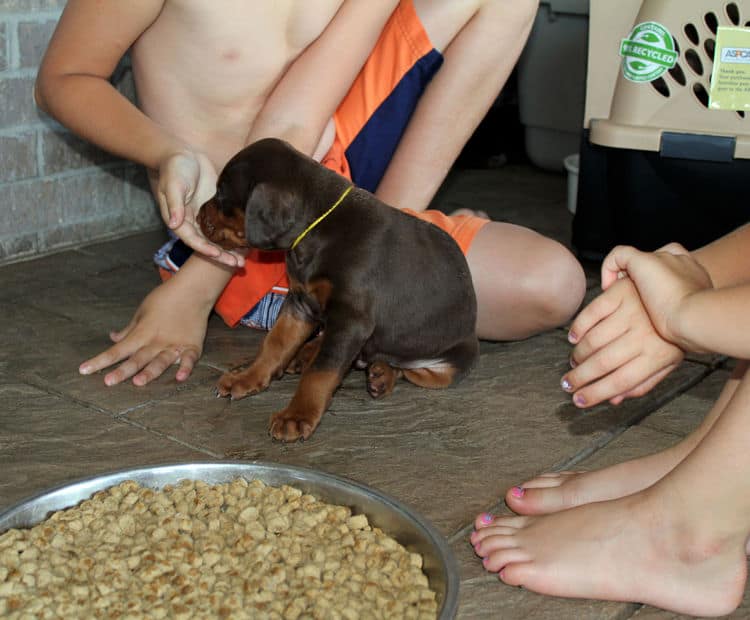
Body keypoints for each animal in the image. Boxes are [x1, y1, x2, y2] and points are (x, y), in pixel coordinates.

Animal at [197, 139, 478, 444]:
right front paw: (247, 377)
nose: (198, 214)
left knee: (409, 369)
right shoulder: (299, 304)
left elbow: (322, 370)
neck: (317, 229)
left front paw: (296, 416)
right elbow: (275, 343)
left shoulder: (351, 320)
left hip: (446, 363)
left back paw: (381, 373)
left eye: (221, 192)